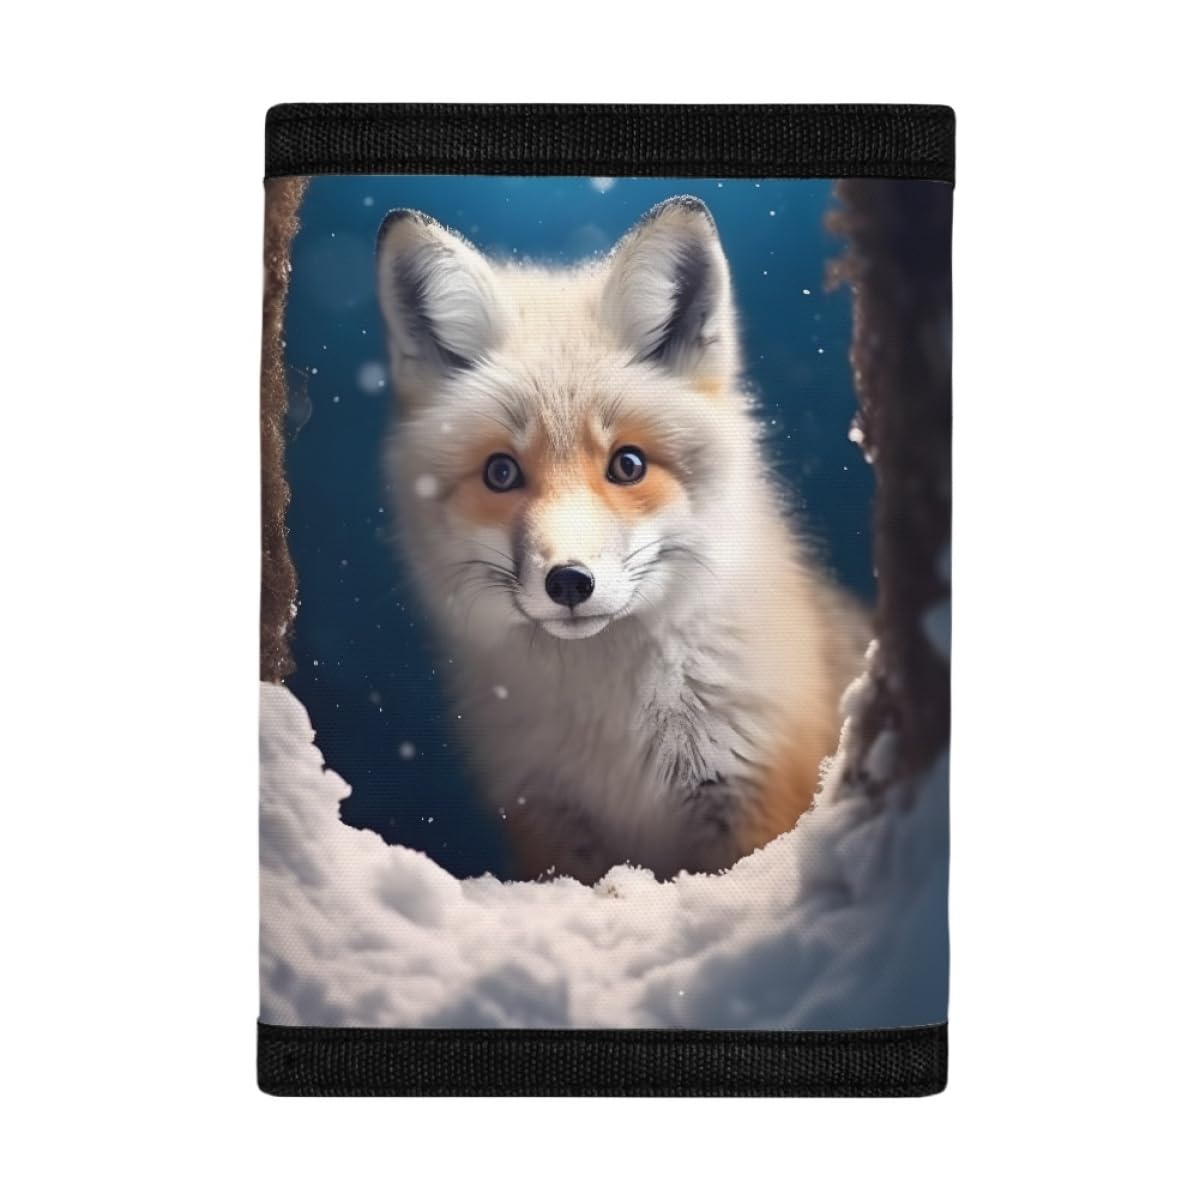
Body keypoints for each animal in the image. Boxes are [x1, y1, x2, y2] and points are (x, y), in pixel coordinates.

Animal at [375, 196, 868, 884]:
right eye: (501, 473)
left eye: (628, 465)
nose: (569, 582)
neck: (616, 728)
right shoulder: (548, 820)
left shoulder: (755, 793)